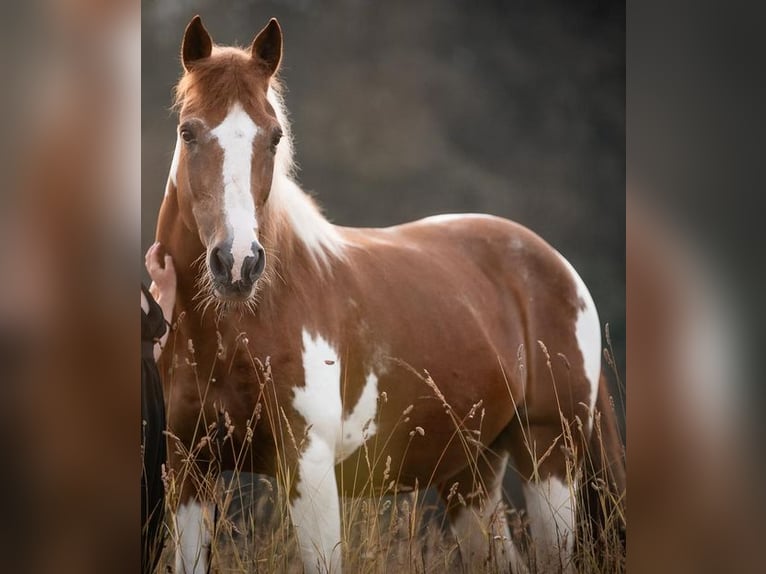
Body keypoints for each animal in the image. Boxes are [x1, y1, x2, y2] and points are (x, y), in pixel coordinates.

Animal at [154, 15, 625, 574]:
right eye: (188, 131)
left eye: (274, 137)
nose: (238, 263)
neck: (238, 329)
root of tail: (556, 267)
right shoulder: (189, 472)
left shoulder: (308, 468)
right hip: (470, 475)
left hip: (549, 456)